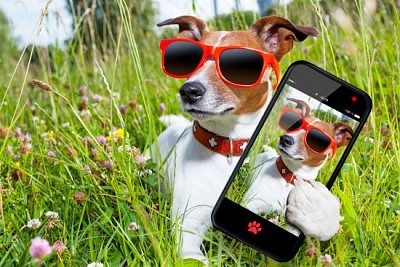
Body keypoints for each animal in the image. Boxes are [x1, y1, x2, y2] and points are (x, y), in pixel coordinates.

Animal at [244, 98, 354, 239]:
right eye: (294, 124)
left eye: (317, 139)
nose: (285, 139)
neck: (289, 177)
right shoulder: (250, 203)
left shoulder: (294, 226)